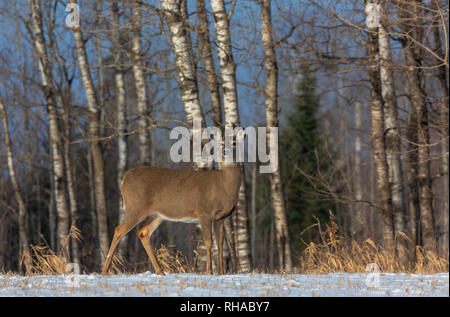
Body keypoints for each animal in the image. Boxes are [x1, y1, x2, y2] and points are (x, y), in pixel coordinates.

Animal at [101, 138, 241, 274]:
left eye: (234, 142)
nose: (225, 151)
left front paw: (221, 272)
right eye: (221, 143)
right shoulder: (204, 212)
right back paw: (104, 270)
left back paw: (160, 272)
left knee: (143, 233)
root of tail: (124, 178)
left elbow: (220, 243)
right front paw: (209, 272)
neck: (223, 185)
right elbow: (208, 242)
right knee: (119, 230)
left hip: (156, 215)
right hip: (135, 208)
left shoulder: (221, 218)